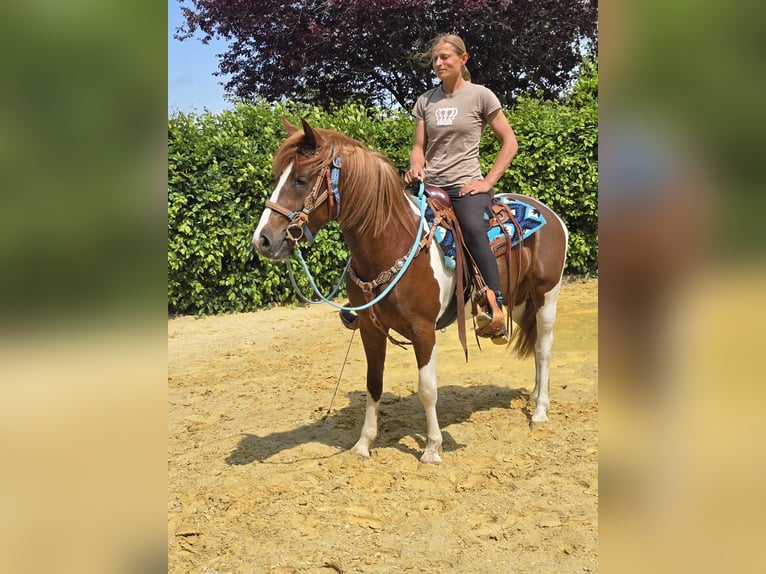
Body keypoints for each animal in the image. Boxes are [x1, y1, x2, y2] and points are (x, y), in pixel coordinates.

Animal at [253, 118, 568, 464]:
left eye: (301, 179)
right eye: (277, 177)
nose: (263, 240)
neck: (392, 242)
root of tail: (549, 214)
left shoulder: (423, 329)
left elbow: (427, 389)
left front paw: (432, 448)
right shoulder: (370, 329)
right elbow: (373, 383)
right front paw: (363, 444)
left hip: (546, 294)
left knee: (544, 347)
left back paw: (539, 412)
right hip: (521, 299)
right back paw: (535, 393)